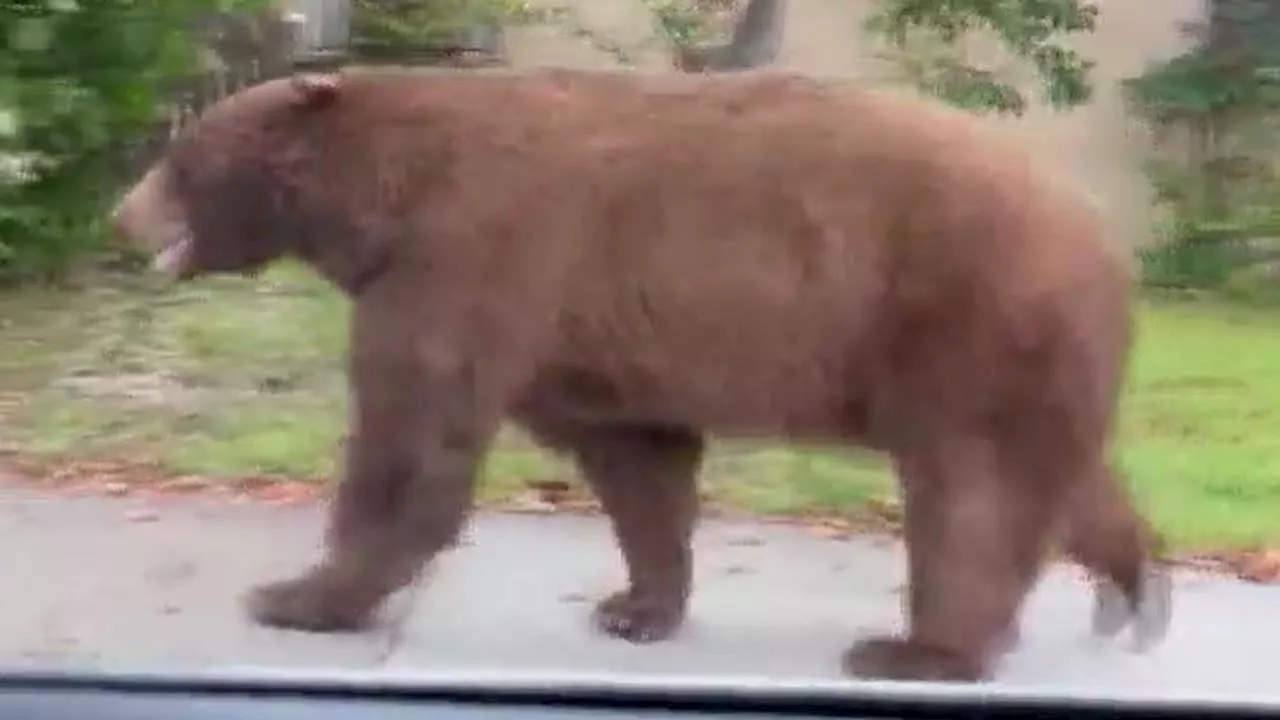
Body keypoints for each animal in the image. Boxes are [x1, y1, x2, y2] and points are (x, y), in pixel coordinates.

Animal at [110, 67, 1172, 676]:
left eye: (178, 156)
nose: (119, 216)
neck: (381, 198)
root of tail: (1107, 239)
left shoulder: (466, 261)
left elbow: (411, 436)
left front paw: (294, 596)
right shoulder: (589, 336)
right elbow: (639, 463)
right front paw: (635, 607)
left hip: (966, 320)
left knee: (972, 492)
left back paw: (916, 650)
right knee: (1062, 480)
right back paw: (1137, 591)